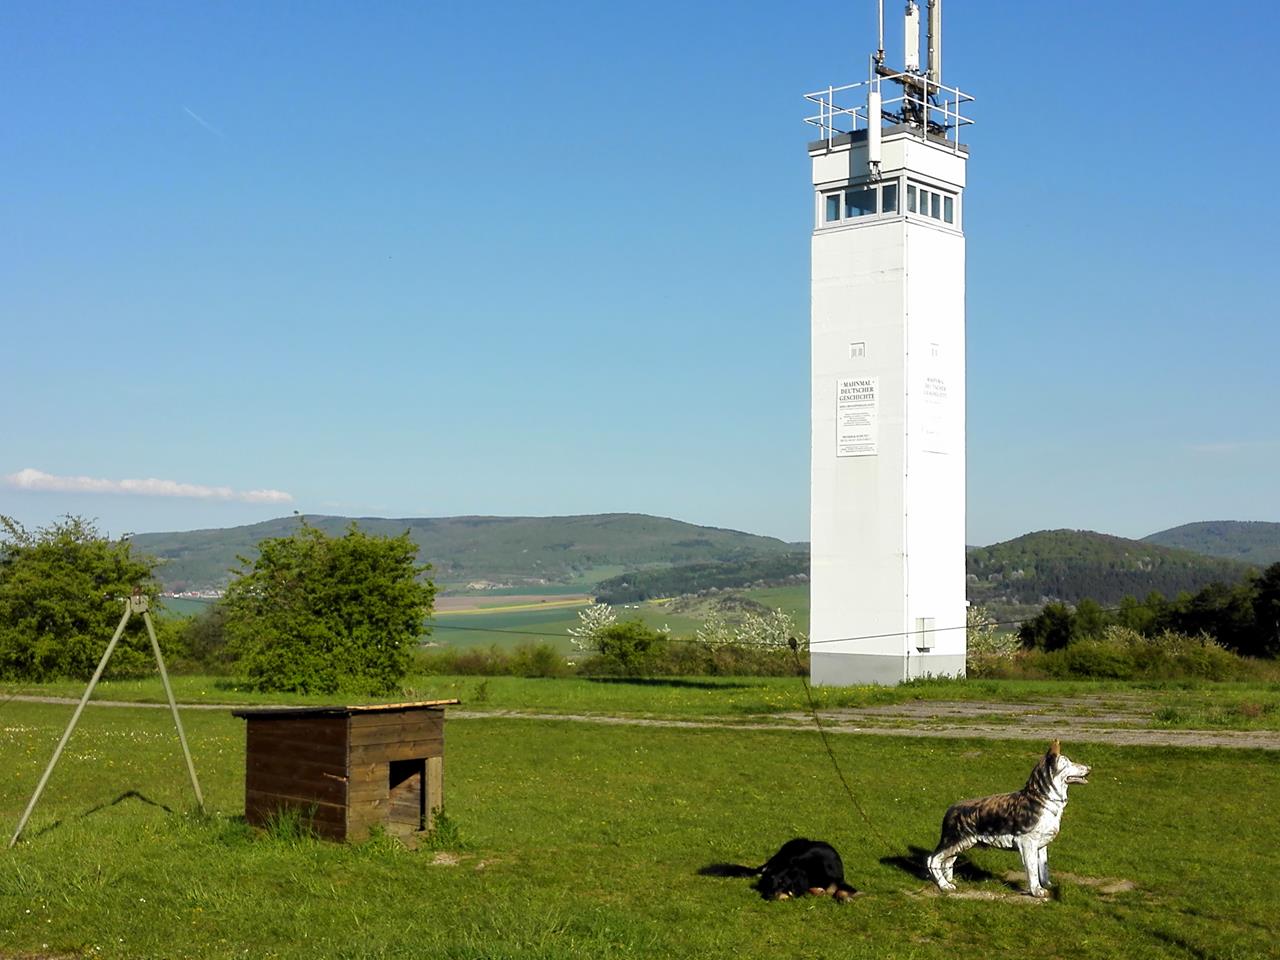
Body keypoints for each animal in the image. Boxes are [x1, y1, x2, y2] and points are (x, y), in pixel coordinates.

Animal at [926, 740, 1091, 898]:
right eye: (1067, 763)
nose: (1089, 768)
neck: (1042, 799)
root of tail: (950, 809)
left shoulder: (1042, 845)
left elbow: (1043, 869)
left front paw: (1047, 885)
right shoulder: (1028, 843)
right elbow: (1033, 871)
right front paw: (1037, 891)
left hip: (961, 844)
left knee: (947, 862)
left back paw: (950, 881)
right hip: (954, 841)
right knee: (933, 860)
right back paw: (944, 886)